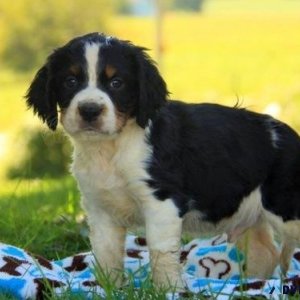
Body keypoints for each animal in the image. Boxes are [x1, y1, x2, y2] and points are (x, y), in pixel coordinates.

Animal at [25, 32, 300, 288]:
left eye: (116, 83)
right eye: (70, 81)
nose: (89, 110)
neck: (111, 148)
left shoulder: (161, 203)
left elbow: (160, 253)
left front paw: (169, 290)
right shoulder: (101, 209)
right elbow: (106, 255)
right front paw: (109, 289)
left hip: (285, 208)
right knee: (266, 252)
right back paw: (252, 285)